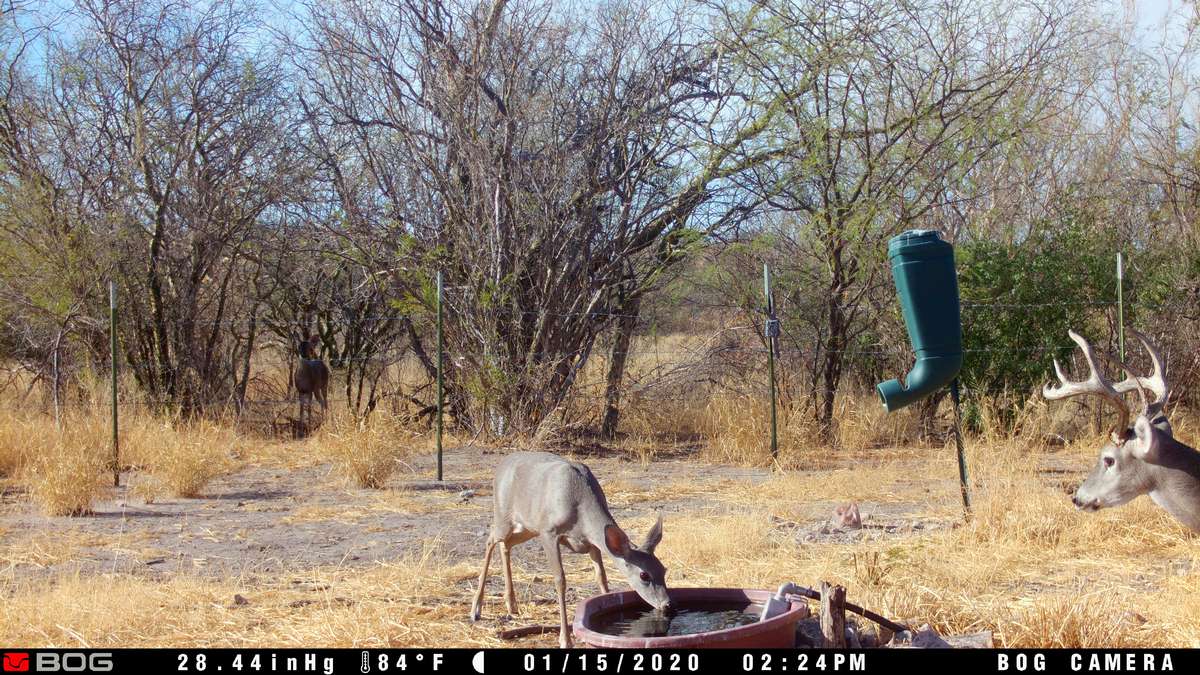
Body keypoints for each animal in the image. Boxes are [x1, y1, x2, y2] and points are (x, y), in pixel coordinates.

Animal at [470, 451, 672, 648]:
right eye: (644, 575)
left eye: (664, 570)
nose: (667, 604)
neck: (579, 508)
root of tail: (502, 465)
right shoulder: (548, 532)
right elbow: (560, 580)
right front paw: (565, 640)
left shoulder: (592, 543)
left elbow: (601, 577)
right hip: (505, 516)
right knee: (491, 539)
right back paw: (475, 610)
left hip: (526, 527)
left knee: (506, 545)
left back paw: (511, 604)